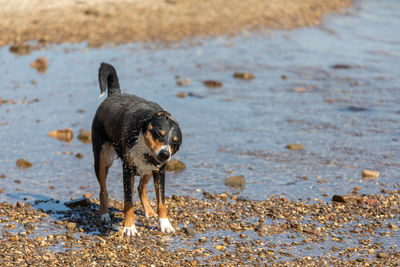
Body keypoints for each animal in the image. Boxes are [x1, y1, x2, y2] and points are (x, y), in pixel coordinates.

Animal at [91, 62, 182, 237]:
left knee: (141, 188)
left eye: (174, 142)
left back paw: (149, 211)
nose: (165, 154)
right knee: (103, 190)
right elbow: (128, 202)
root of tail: (115, 94)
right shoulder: (128, 171)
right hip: (102, 160)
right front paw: (129, 227)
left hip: (148, 169)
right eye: (159, 133)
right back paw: (104, 214)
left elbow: (161, 201)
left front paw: (165, 224)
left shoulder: (159, 171)